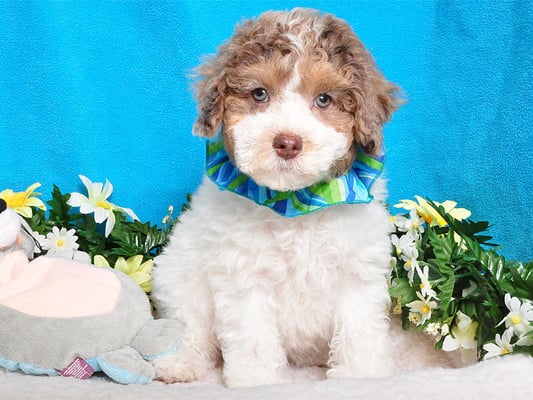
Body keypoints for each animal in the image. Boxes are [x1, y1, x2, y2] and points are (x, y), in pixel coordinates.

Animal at [150, 7, 400, 388]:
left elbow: (358, 329)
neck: (296, 202)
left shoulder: (356, 272)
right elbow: (253, 335)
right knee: (189, 330)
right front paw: (258, 380)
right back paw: (179, 363)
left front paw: (359, 375)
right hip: (179, 279)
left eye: (323, 99)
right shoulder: (244, 276)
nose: (287, 142)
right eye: (259, 94)